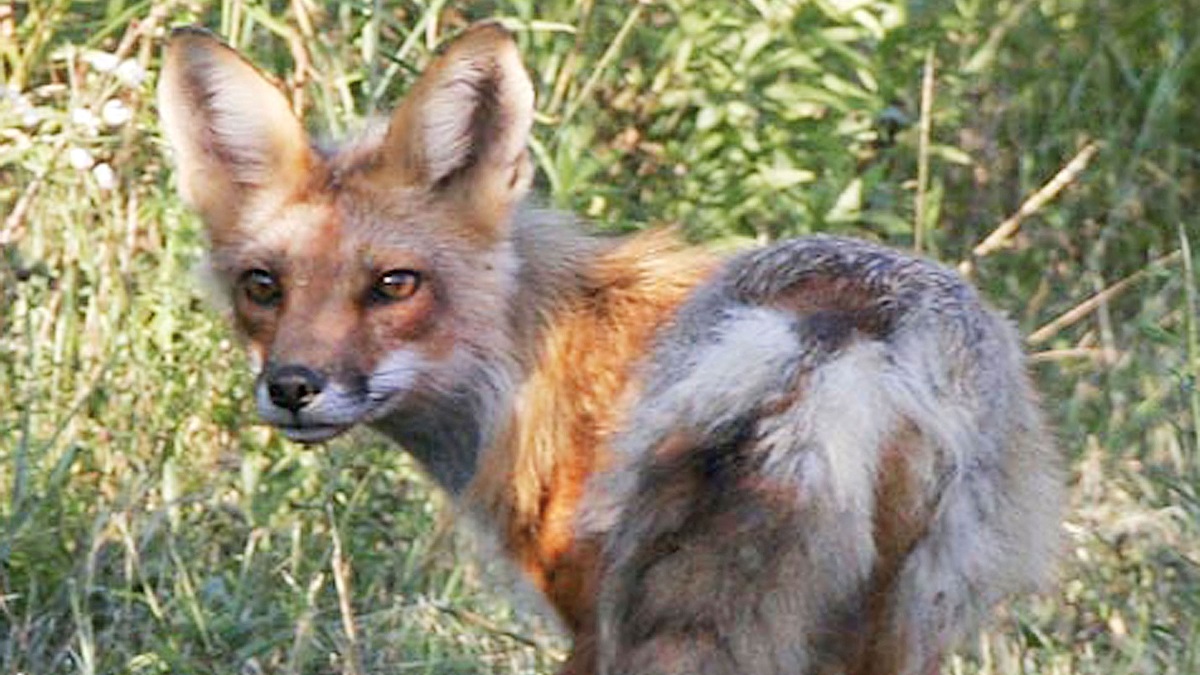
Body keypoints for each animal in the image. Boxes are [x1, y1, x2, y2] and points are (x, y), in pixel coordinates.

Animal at [157, 21, 1063, 675]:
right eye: (263, 285)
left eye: (394, 284)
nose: (292, 386)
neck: (532, 367)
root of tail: (834, 323)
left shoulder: (589, 615)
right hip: (900, 626)